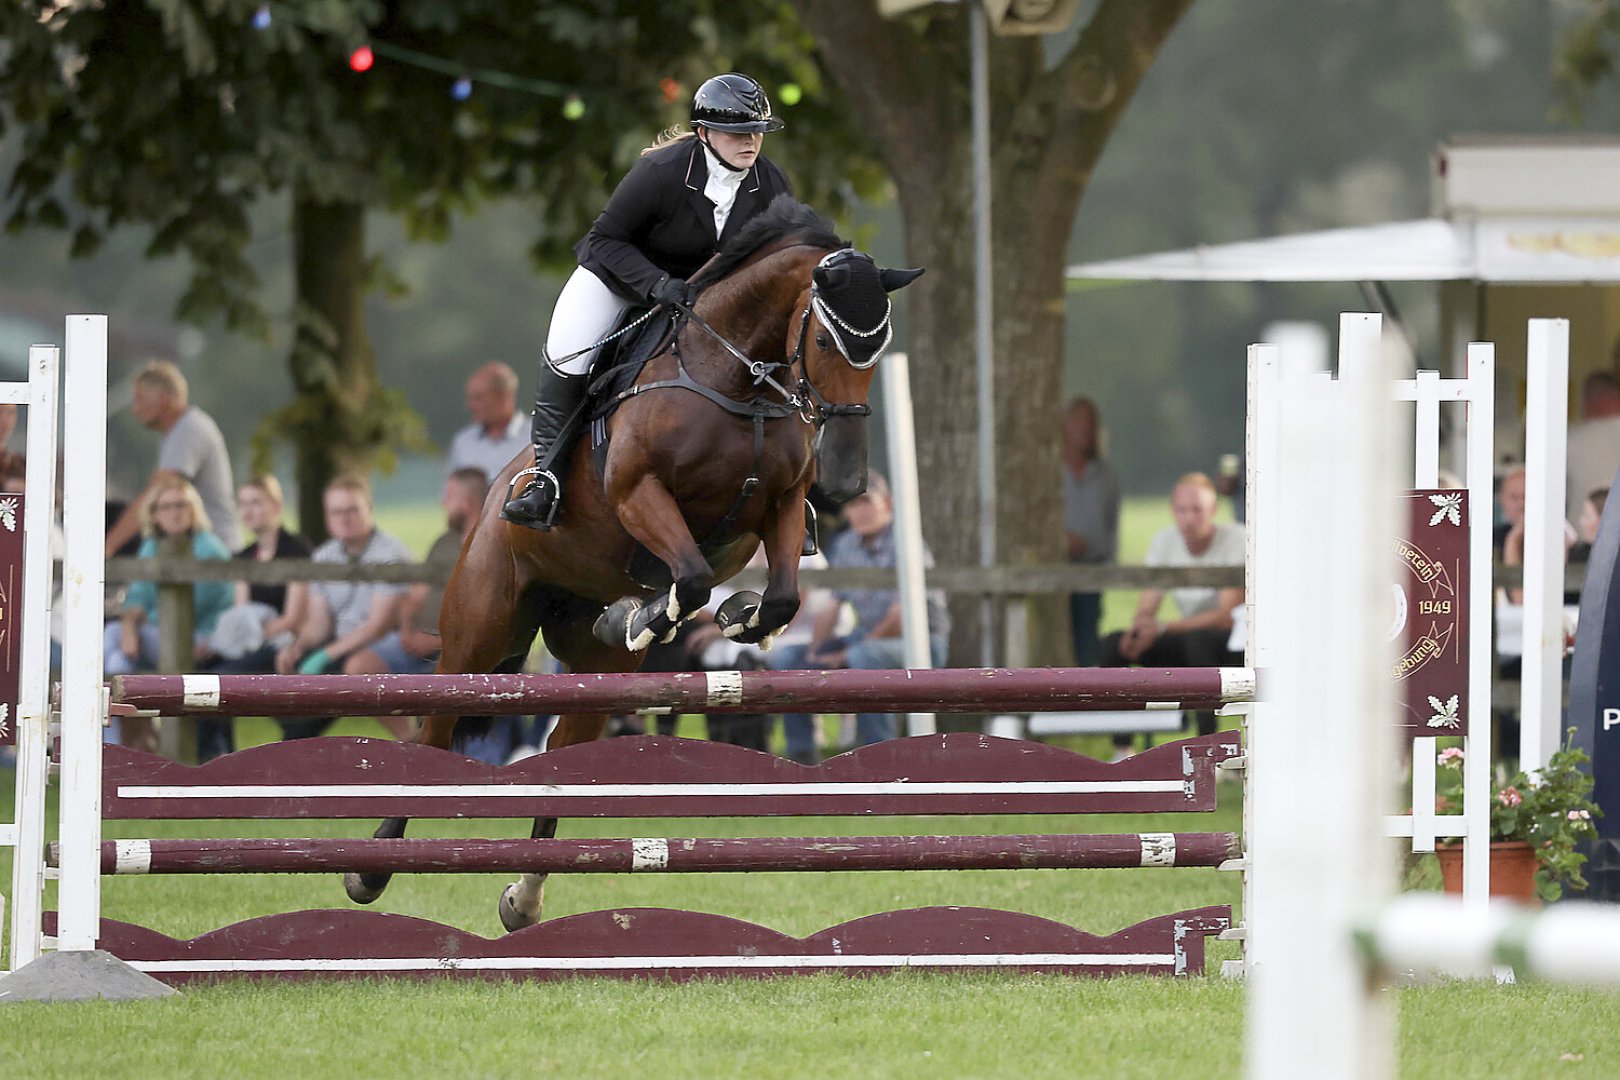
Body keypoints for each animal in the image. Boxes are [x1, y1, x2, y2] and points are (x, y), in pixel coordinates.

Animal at [338, 196, 926, 932]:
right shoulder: (639, 493)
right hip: (479, 634)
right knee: (436, 733)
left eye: (877, 348)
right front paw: (652, 614)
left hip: (597, 673)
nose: (847, 482)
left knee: (563, 753)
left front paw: (732, 618)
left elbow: (783, 595)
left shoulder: (783, 505)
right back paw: (370, 870)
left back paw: (524, 895)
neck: (739, 381)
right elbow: (690, 576)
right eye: (823, 343)